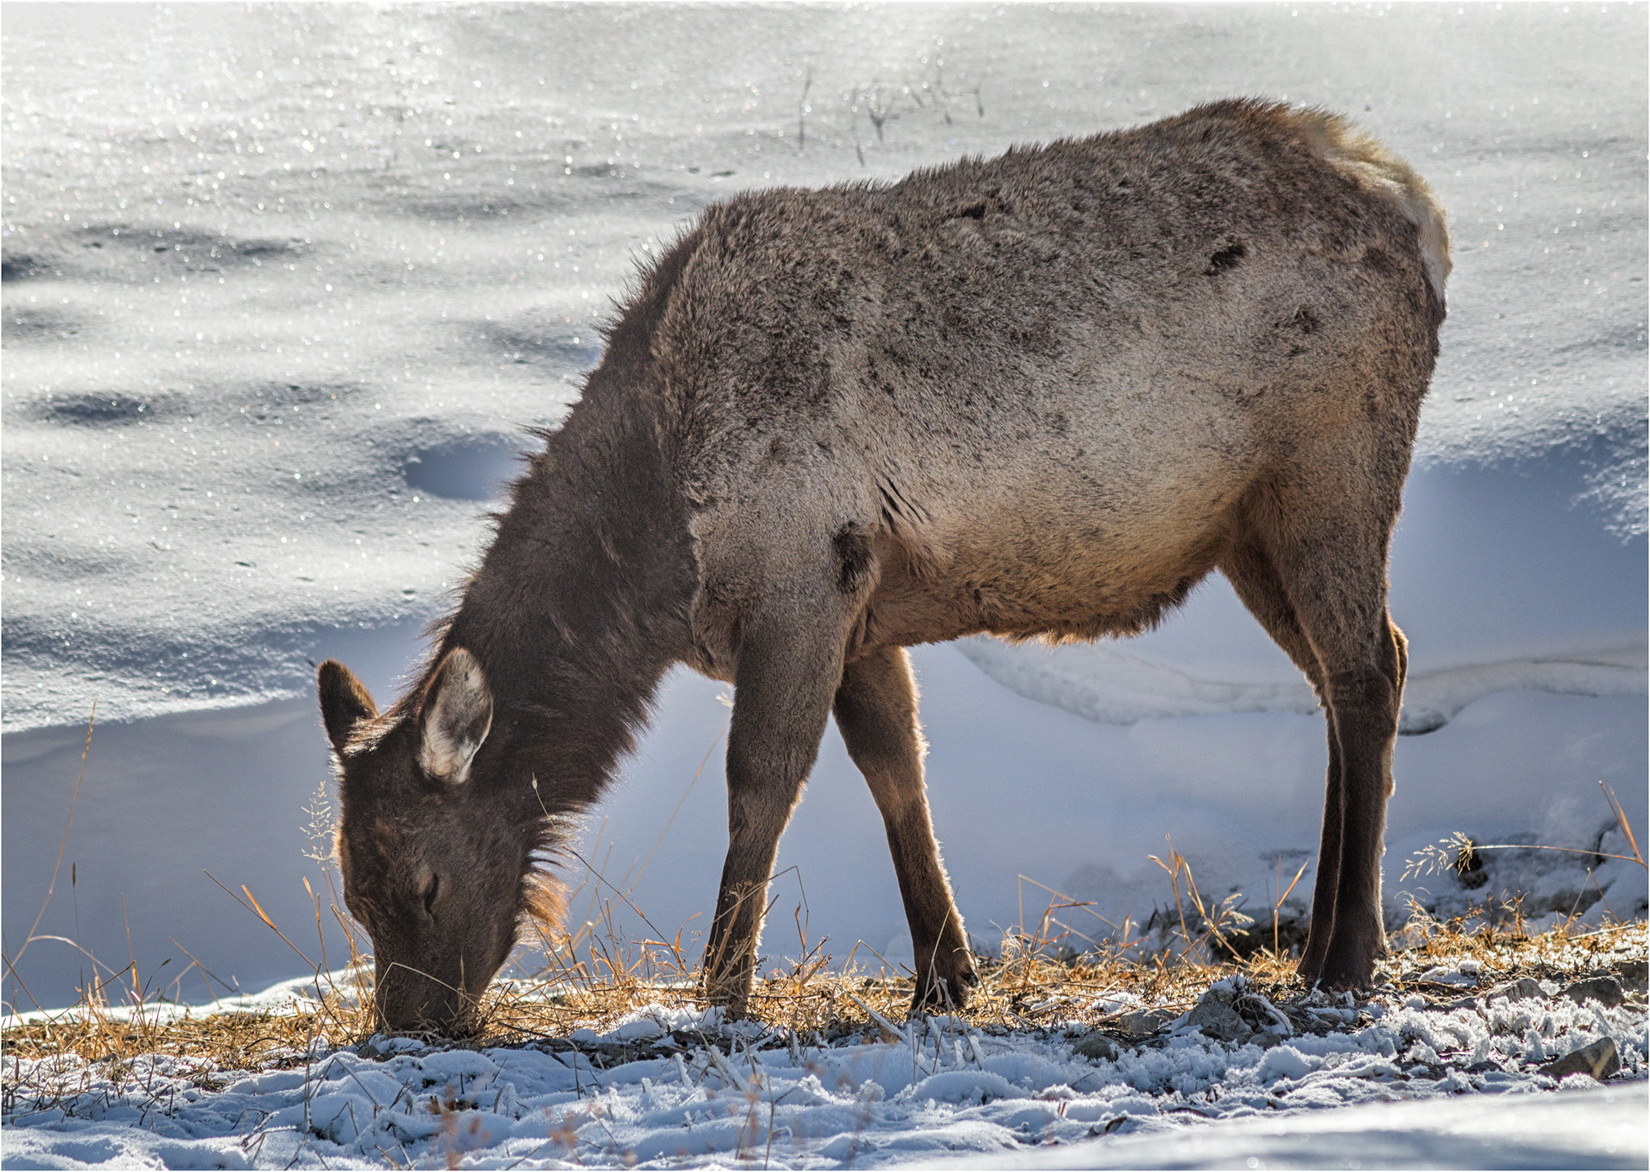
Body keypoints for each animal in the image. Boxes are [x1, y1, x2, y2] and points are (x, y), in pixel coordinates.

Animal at [317, 99, 1449, 1035]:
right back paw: (1321, 940)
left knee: (1368, 669)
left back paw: (1347, 954)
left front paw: (723, 992)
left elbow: (761, 783)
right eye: (352, 893)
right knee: (1355, 670)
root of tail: (1420, 213)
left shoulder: (804, 581)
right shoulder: (862, 606)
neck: (657, 546)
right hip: (1251, 526)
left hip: (1330, 469)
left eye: (422, 881)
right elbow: (895, 764)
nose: (412, 1024)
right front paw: (944, 974)